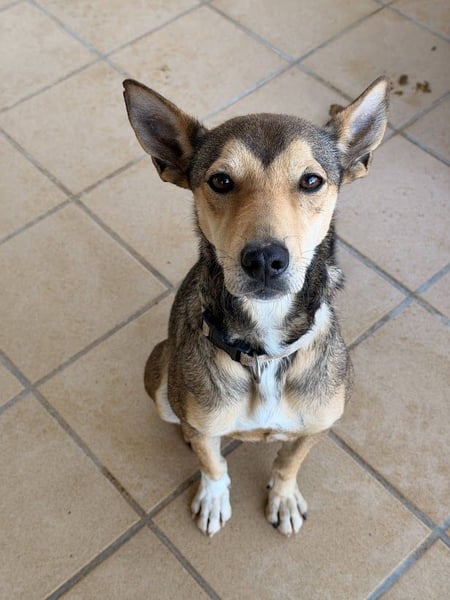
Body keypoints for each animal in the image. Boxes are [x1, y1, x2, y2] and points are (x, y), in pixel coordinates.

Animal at [123, 76, 389, 537]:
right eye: (221, 181)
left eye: (311, 180)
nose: (265, 259)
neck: (265, 352)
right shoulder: (203, 421)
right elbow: (212, 462)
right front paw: (214, 498)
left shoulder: (320, 423)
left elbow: (289, 460)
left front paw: (283, 497)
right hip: (158, 369)